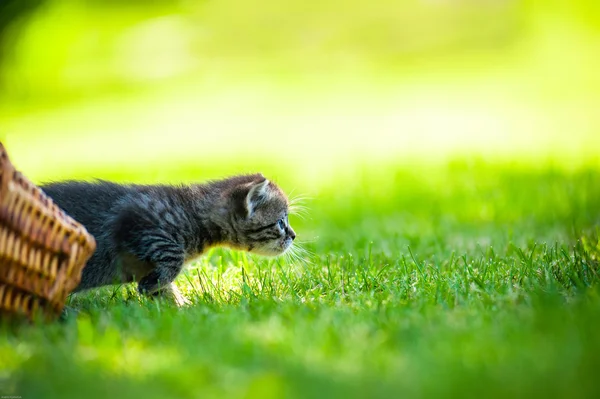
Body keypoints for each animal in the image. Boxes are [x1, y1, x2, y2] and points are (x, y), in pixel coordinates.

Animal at [40, 173, 296, 304]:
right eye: (280, 222)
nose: (293, 235)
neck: (192, 210)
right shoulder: (137, 220)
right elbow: (173, 258)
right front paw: (151, 286)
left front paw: (179, 305)